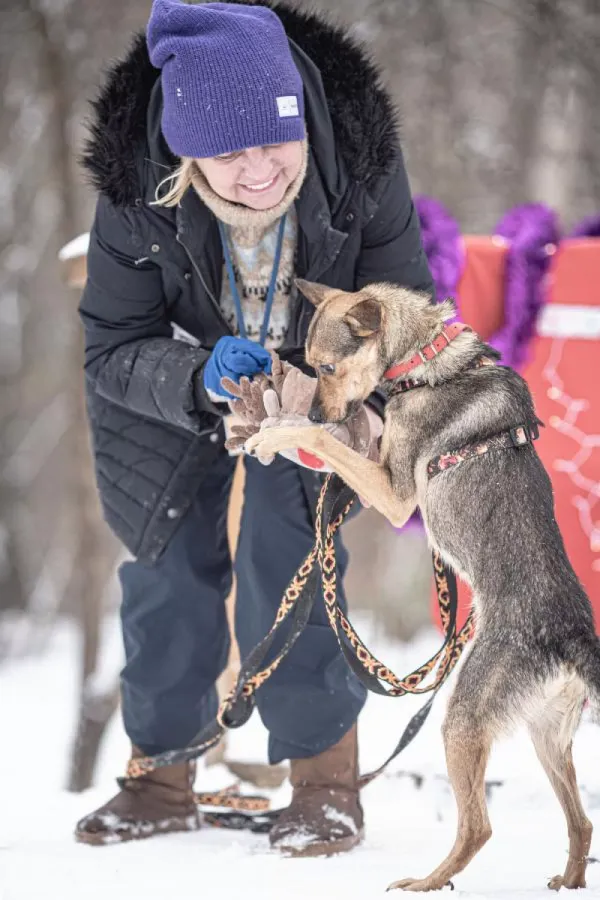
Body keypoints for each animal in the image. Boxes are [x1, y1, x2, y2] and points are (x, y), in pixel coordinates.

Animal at [245, 280, 600, 892]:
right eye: (311, 367)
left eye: (329, 366)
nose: (315, 406)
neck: (426, 361)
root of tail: (570, 636)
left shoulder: (394, 493)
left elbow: (327, 443)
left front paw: (280, 433)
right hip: (546, 735)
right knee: (581, 822)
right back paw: (568, 881)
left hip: (463, 718)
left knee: (478, 827)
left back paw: (426, 883)